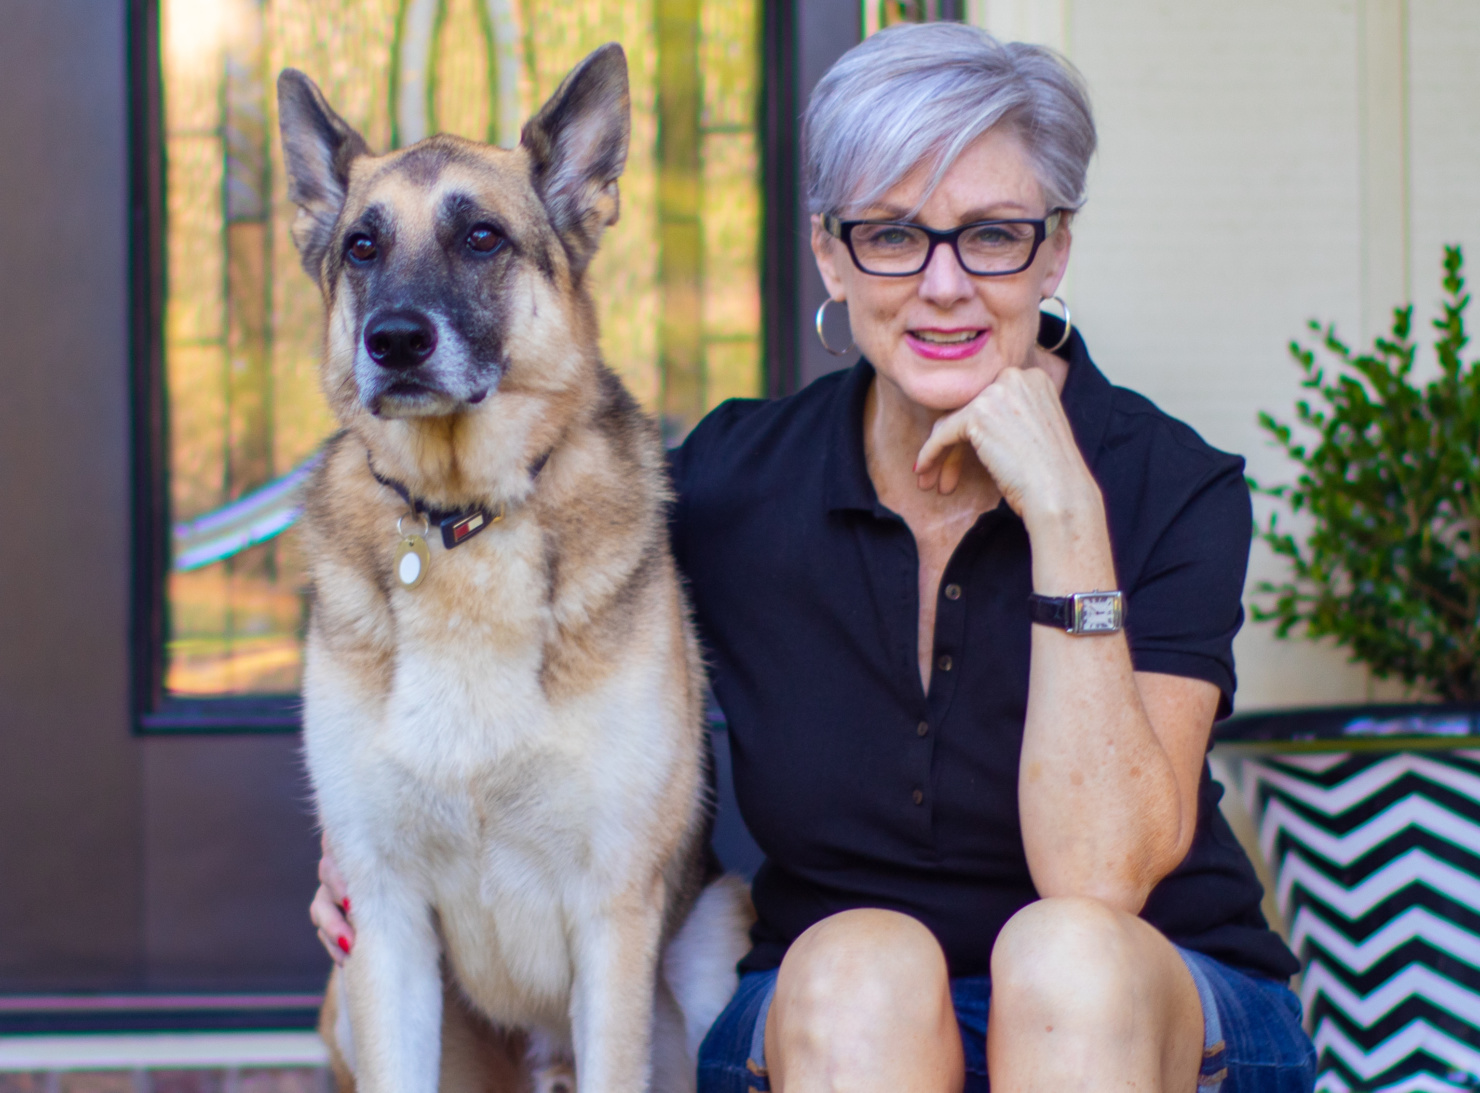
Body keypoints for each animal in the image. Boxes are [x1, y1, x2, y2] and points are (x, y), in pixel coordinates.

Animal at [281, 44, 751, 1093]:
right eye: (362, 247)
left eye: (483, 238)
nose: (394, 341)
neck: (464, 521)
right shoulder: (379, 920)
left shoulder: (615, 914)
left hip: (709, 957)